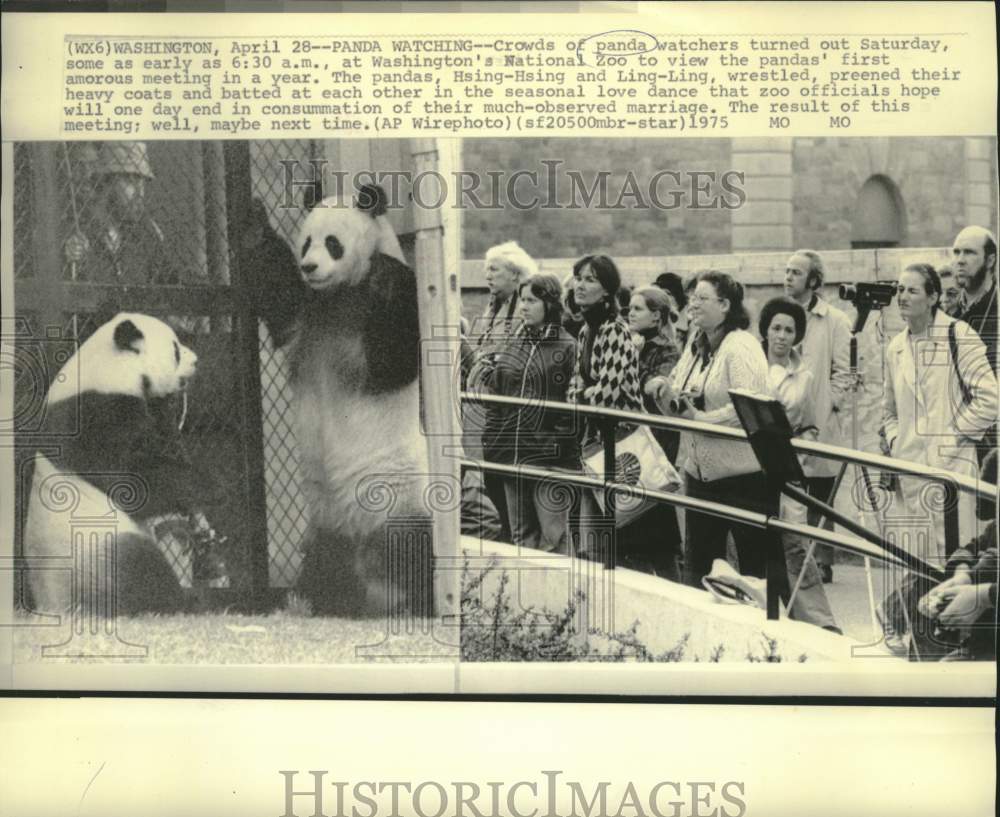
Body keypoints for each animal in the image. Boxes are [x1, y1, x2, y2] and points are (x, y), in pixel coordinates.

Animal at [23, 310, 199, 612]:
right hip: (98, 546)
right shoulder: (96, 417)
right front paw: (206, 486)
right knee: (142, 570)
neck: (109, 370)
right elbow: (127, 482)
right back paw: (175, 601)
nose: (196, 360)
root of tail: (54, 607)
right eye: (176, 350)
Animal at [264, 186, 436, 620]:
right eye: (305, 242)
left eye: (332, 243)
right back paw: (309, 601)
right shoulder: (307, 315)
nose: (309, 266)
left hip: (401, 503)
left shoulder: (371, 313)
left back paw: (416, 604)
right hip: (326, 522)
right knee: (322, 563)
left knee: (418, 554)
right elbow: (278, 296)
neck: (339, 296)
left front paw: (384, 275)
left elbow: (394, 362)